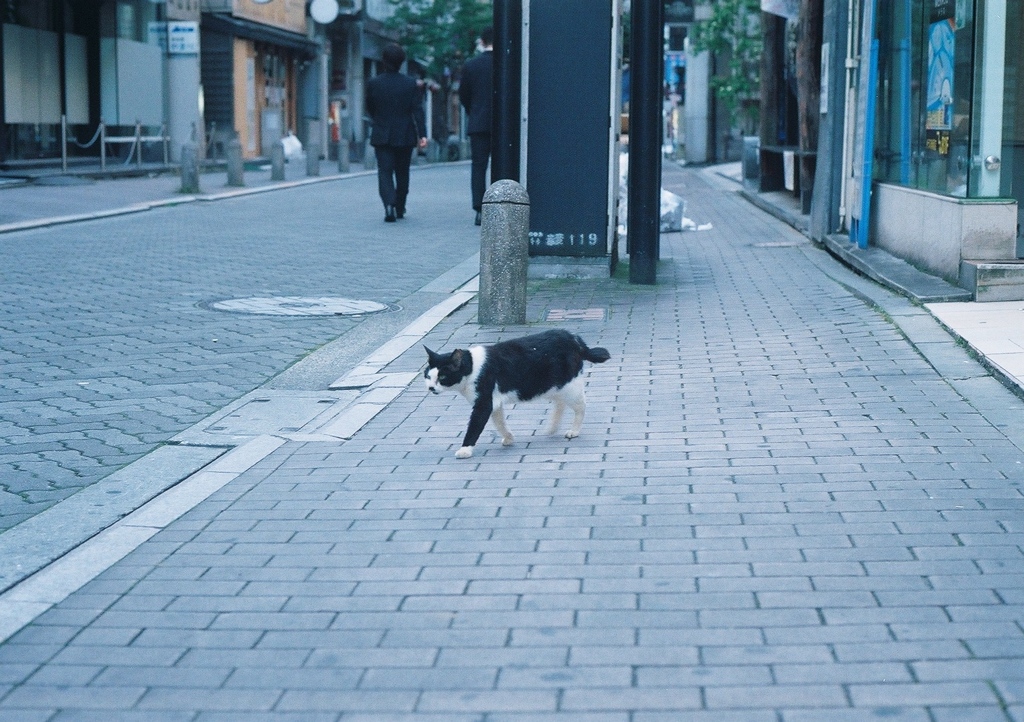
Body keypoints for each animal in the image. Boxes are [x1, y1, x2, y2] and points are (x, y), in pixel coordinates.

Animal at [421, 327, 606, 456]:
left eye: (442, 377)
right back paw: (552, 427)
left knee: (581, 405)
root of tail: (575, 338)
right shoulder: (494, 403)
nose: (430, 388)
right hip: (554, 385)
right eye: (428, 376)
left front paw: (465, 450)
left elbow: (474, 427)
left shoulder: (483, 403)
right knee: (560, 403)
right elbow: (500, 423)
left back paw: (574, 431)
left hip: (569, 386)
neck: (472, 367)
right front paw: (509, 438)